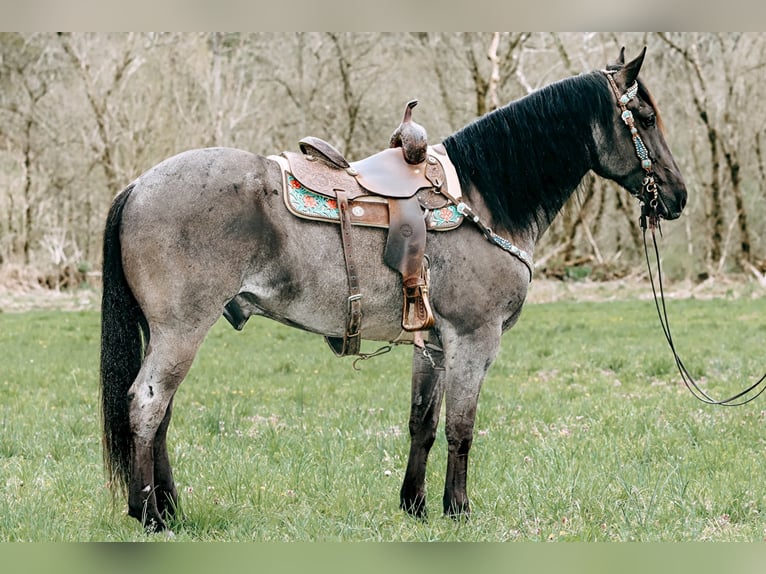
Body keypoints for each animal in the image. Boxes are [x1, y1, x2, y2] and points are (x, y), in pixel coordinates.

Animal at [97, 48, 688, 536]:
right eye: (647, 118)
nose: (679, 195)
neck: (481, 199)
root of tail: (138, 186)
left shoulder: (434, 345)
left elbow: (422, 424)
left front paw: (415, 505)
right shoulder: (474, 340)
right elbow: (461, 427)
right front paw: (458, 509)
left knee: (161, 412)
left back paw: (170, 507)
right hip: (181, 330)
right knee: (147, 405)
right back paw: (150, 514)